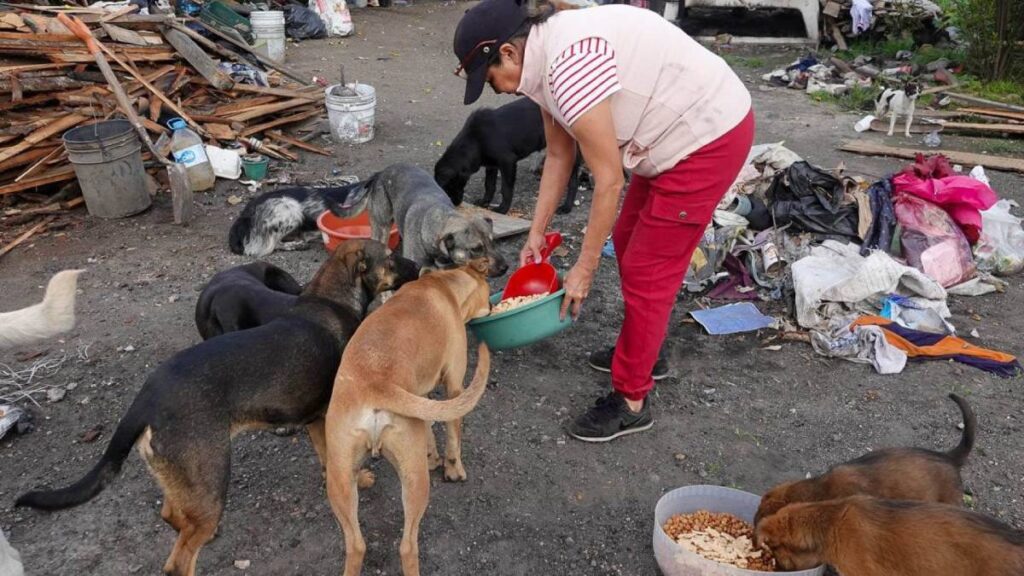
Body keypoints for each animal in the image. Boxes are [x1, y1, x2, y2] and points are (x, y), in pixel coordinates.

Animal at [14, 238, 415, 573]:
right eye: (390, 256)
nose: (417, 265)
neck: (331, 297)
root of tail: (145, 400)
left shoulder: (315, 418)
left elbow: (327, 458)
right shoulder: (331, 414)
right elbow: (337, 458)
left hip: (188, 481)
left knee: (170, 513)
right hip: (210, 476)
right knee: (178, 560)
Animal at [434, 97, 585, 214]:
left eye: (448, 187)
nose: (455, 204)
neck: (475, 139)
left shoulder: (508, 162)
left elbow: (506, 189)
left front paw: (502, 209)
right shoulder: (491, 165)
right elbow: (489, 185)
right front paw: (484, 201)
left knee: (573, 182)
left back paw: (566, 207)